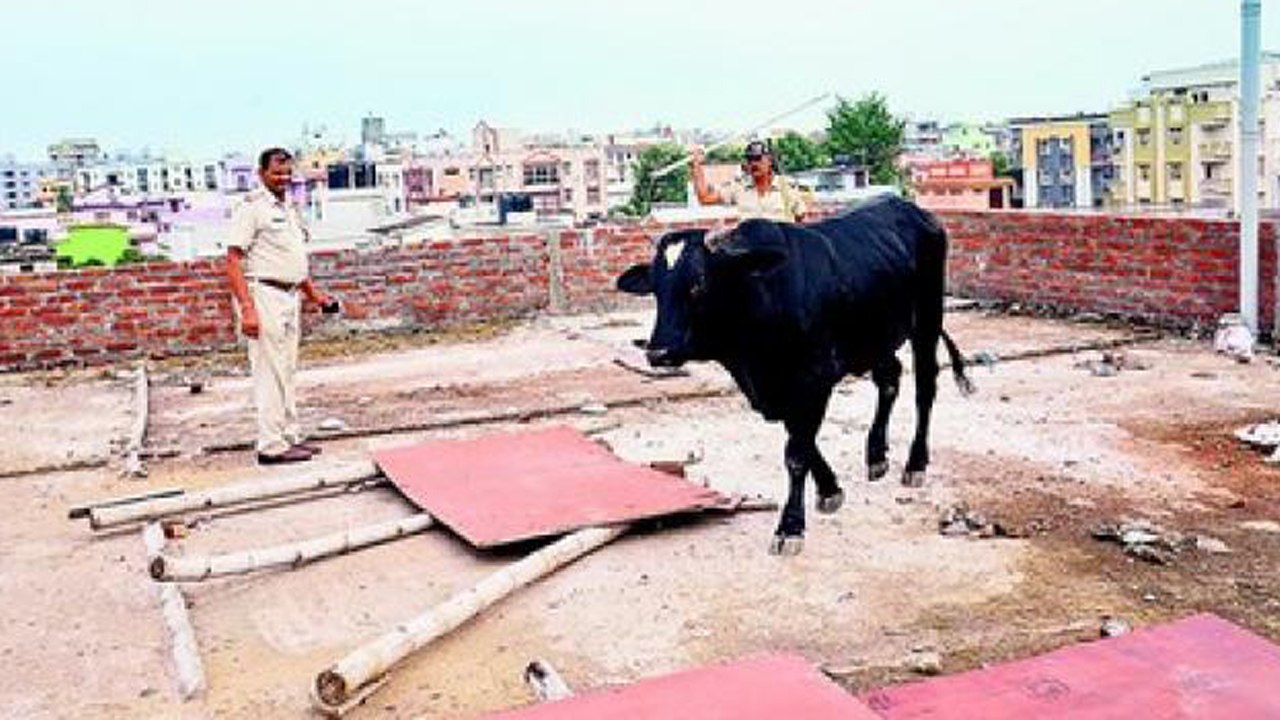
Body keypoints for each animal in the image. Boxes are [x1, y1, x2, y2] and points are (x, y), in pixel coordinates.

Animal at [616, 195, 974, 555]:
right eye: (656, 288)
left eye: (698, 284)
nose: (658, 352)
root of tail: (912, 209)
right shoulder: (777, 391)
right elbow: (802, 440)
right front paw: (830, 489)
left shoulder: (814, 379)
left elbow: (797, 453)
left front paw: (790, 527)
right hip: (877, 337)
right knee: (889, 380)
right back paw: (875, 455)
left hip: (927, 322)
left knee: (924, 390)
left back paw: (915, 464)